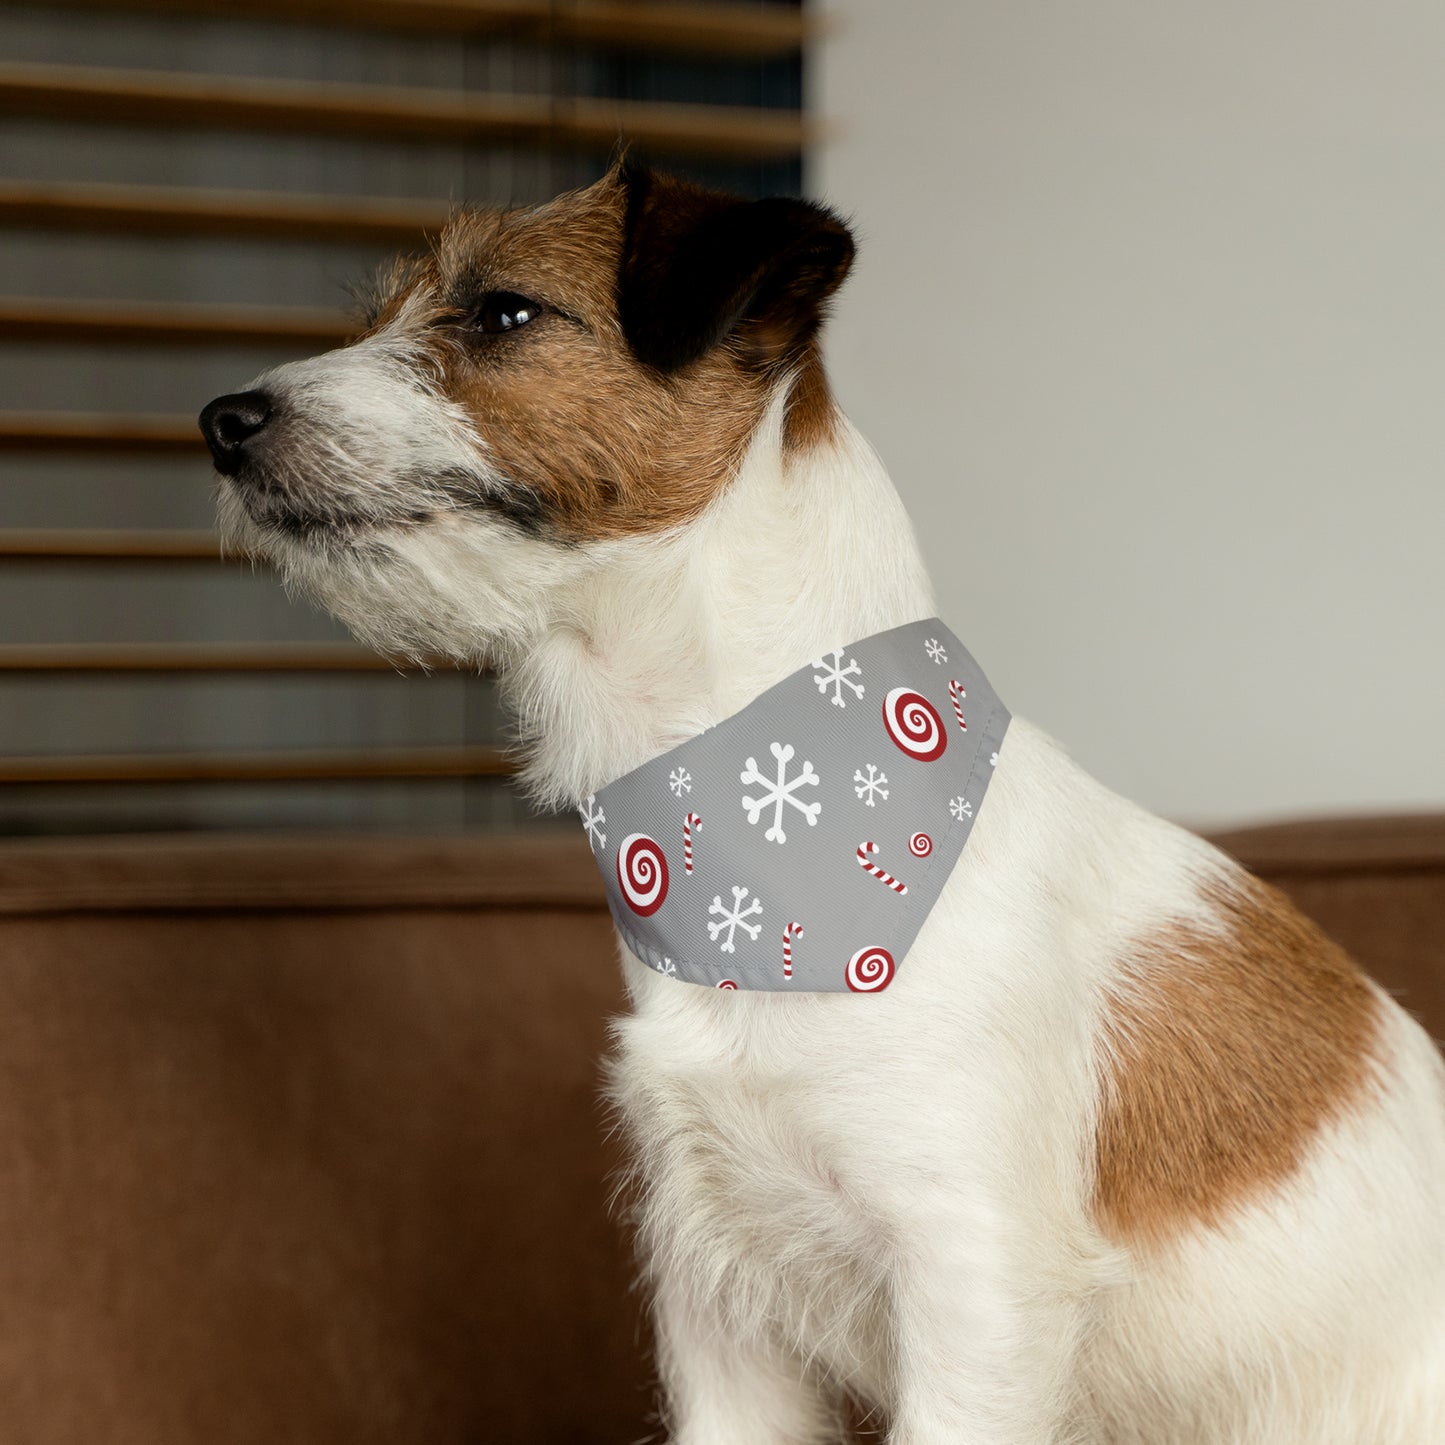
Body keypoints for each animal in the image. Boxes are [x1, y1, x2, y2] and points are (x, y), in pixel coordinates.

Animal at [195, 164, 1445, 1439]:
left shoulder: (972, 1290)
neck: (759, 844)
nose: (222, 421)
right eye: (382, 313)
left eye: (502, 311)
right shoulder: (717, 1304)